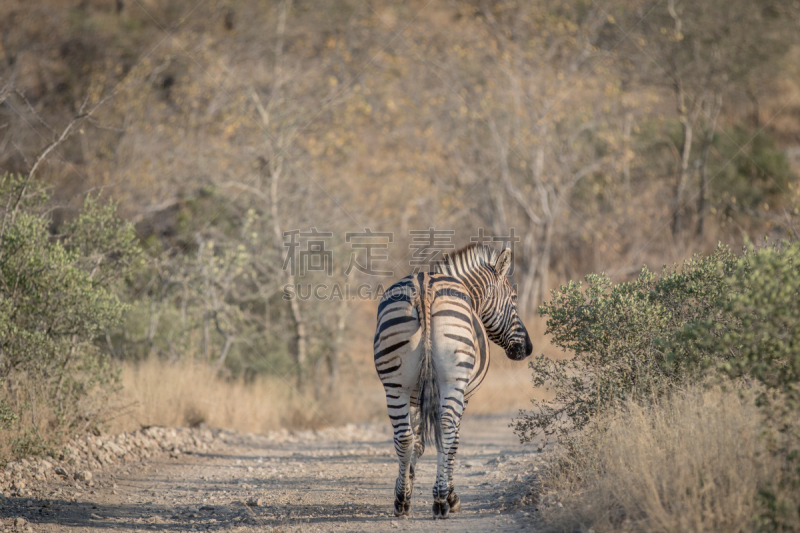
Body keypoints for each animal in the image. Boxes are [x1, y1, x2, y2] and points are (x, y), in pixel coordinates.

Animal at [374, 243, 532, 516]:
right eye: (513, 298)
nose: (527, 349)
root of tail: (423, 287)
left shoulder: (415, 396)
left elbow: (417, 442)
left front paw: (407, 486)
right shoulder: (465, 394)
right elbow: (453, 441)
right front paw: (450, 495)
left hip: (396, 384)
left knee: (404, 437)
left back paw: (402, 501)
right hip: (453, 382)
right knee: (446, 431)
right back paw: (441, 501)